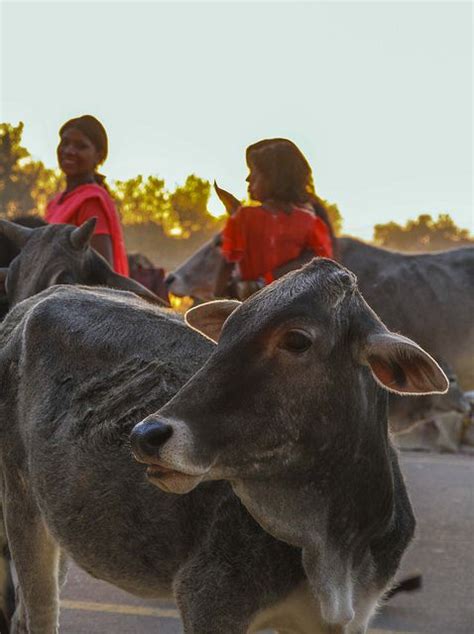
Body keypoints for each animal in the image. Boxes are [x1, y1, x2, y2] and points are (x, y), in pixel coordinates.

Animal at [0, 260, 448, 628]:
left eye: (297, 340)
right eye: (228, 329)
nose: (146, 435)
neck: (334, 548)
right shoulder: (210, 601)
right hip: (20, 506)